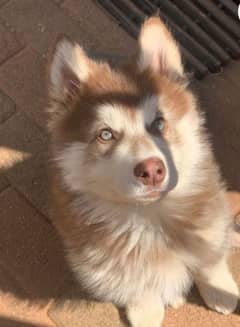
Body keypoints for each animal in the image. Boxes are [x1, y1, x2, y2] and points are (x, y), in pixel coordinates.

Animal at [47, 17, 238, 327]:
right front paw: (146, 310)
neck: (152, 217)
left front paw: (220, 290)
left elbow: (209, 257)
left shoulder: (209, 216)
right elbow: (134, 282)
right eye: (106, 134)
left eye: (158, 123)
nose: (152, 170)